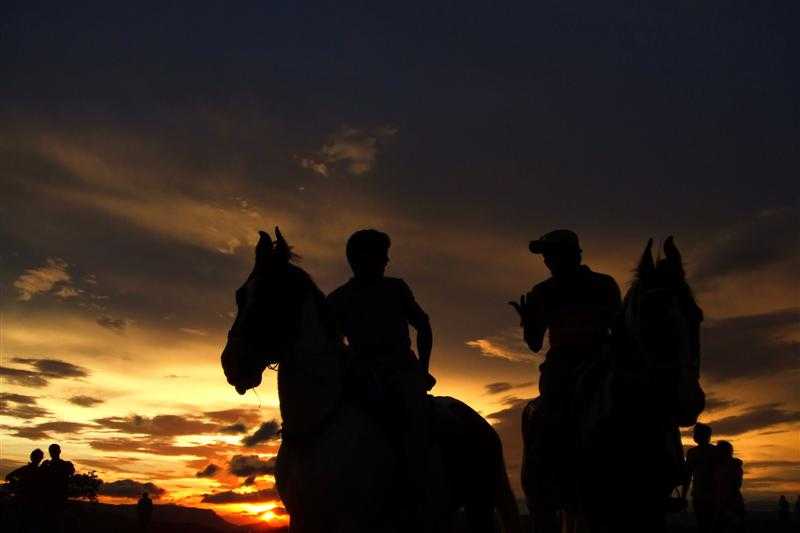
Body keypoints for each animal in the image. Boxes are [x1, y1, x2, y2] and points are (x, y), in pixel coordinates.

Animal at [222, 229, 520, 532]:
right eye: (240, 295)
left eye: (275, 297)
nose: (232, 363)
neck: (318, 424)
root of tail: (482, 424)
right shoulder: (302, 520)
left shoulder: (351, 522)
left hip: (478, 504)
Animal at [520, 238, 704, 532]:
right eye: (649, 317)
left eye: (696, 316)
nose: (688, 400)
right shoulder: (595, 507)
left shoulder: (652, 506)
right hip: (542, 504)